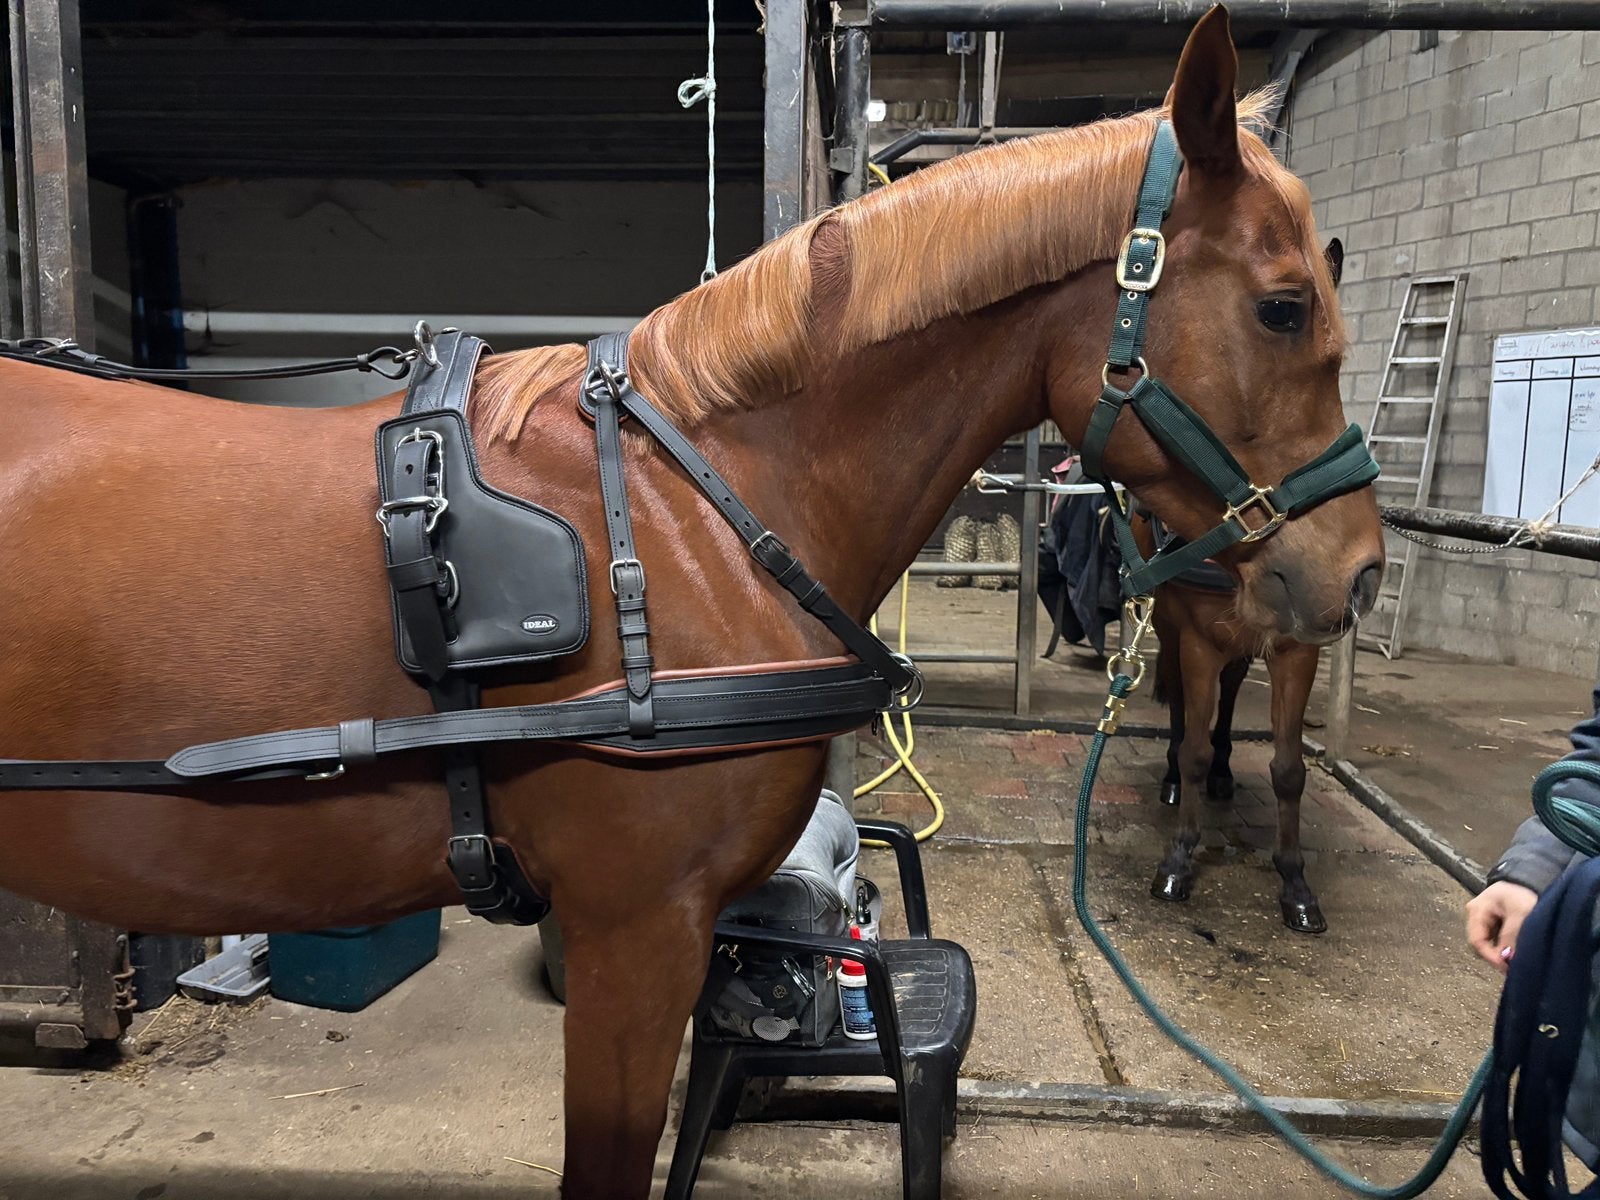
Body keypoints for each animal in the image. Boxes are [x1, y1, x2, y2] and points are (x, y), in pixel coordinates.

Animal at [1141, 239, 1351, 936]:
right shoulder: (1197, 637)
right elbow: (1193, 741)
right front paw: (1180, 856)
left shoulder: (1296, 647)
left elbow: (1288, 770)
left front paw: (1296, 884)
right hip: (1175, 629)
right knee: (1185, 708)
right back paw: (1176, 777)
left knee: (1231, 695)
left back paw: (1227, 771)